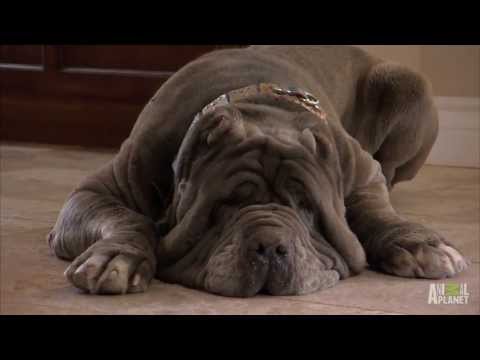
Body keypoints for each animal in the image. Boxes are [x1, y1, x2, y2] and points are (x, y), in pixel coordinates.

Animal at [47, 45, 466, 296]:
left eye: (307, 208)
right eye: (223, 206)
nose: (269, 245)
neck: (263, 112)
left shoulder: (365, 174)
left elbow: (375, 211)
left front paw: (419, 244)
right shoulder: (97, 193)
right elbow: (127, 219)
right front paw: (116, 258)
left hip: (407, 85)